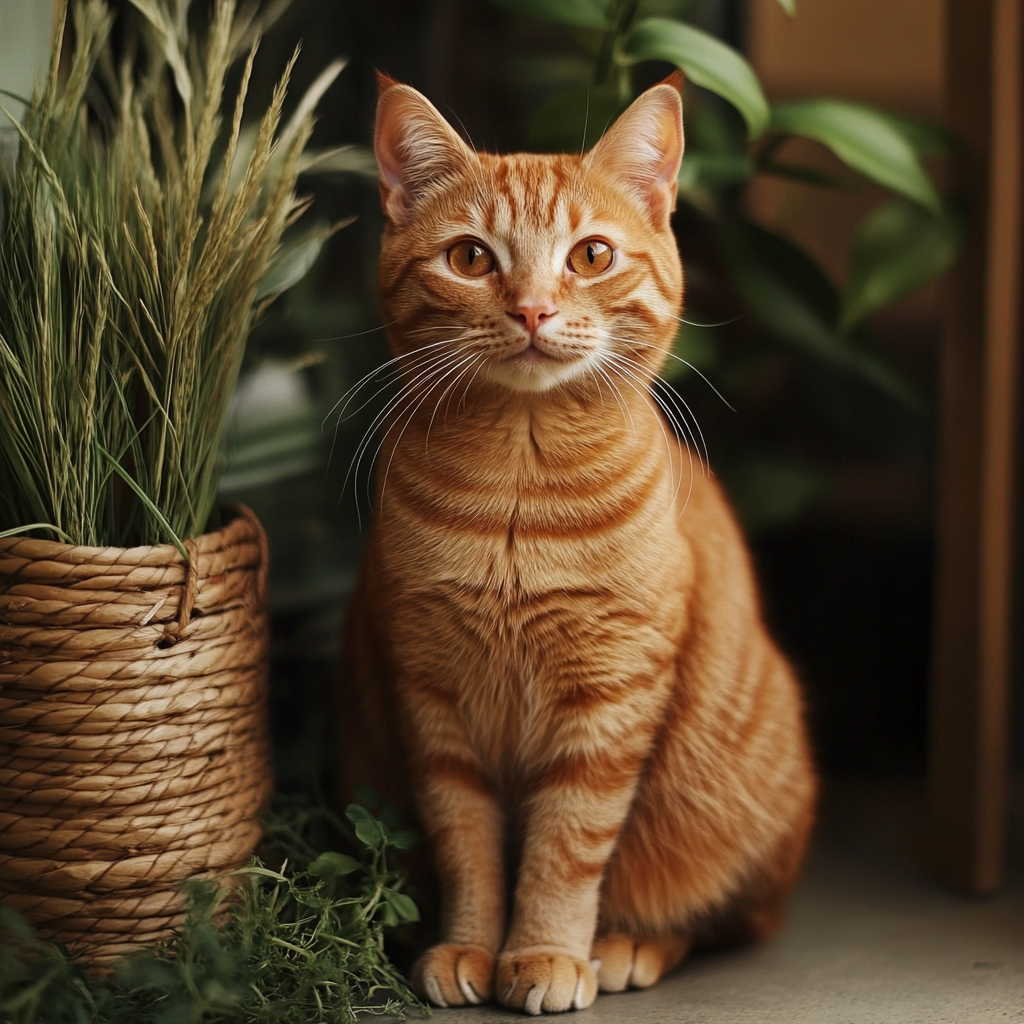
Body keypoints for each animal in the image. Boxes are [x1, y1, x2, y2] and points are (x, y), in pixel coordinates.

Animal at [335, 74, 815, 1015]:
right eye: (471, 259)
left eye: (590, 256)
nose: (532, 308)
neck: (517, 498)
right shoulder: (433, 698)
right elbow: (467, 843)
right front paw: (468, 946)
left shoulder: (610, 696)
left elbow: (566, 848)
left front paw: (548, 954)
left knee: (723, 917)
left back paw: (625, 943)